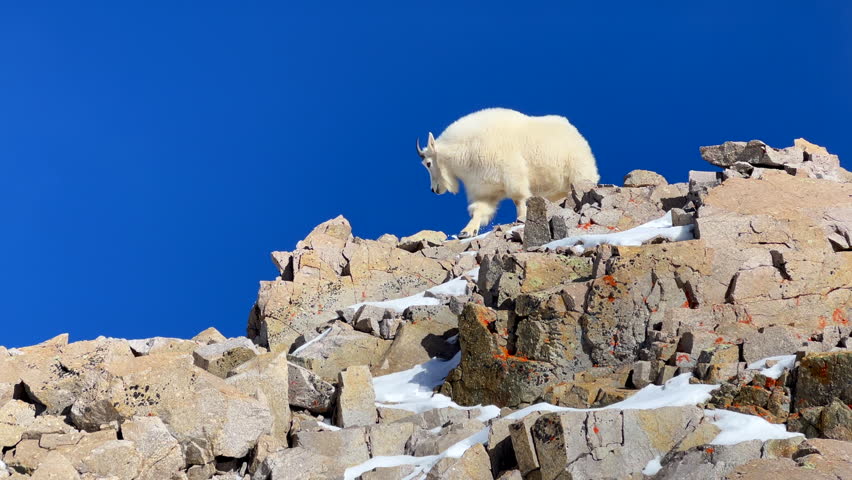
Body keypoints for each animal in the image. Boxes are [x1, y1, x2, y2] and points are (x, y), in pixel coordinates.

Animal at [416, 107, 599, 238]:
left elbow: (519, 199)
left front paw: (522, 219)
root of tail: (573, 130)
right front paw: (466, 232)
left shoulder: (512, 173)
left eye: (428, 163)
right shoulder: (486, 190)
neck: (467, 149)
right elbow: (479, 210)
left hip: (579, 171)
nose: (434, 189)